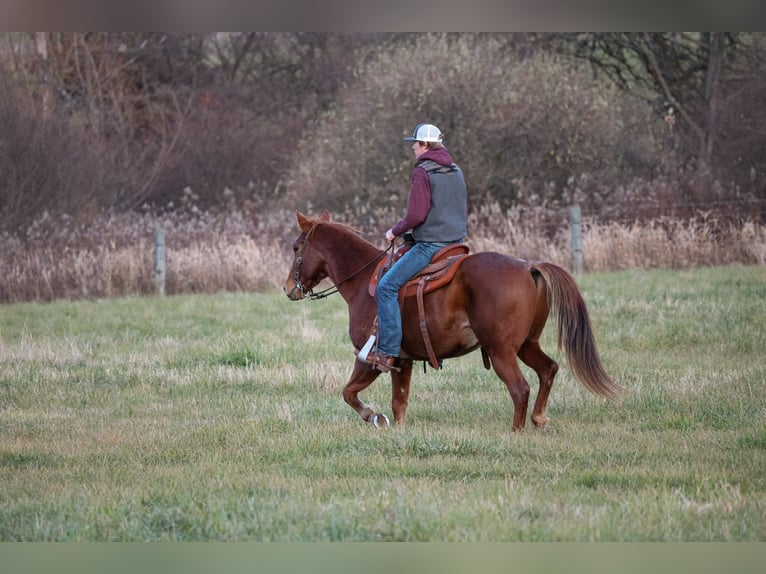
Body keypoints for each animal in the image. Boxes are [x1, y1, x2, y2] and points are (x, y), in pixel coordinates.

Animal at [283, 210, 623, 432]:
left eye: (296, 247)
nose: (288, 288)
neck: (364, 279)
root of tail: (529, 267)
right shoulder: (402, 361)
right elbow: (399, 402)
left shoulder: (369, 357)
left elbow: (349, 393)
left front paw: (373, 417)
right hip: (527, 344)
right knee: (548, 369)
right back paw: (539, 419)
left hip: (501, 351)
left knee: (520, 388)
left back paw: (516, 431)